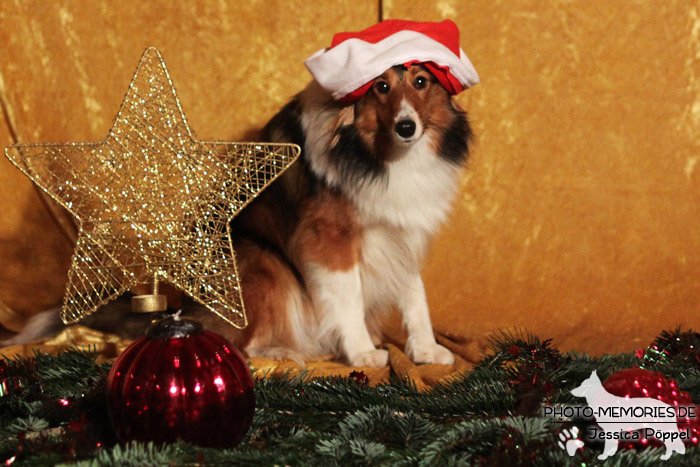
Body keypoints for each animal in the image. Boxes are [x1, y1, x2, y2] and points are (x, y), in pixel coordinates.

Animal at [219, 63, 470, 370]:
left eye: (421, 81)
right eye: (381, 86)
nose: (406, 127)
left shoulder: (401, 230)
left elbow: (415, 294)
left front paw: (425, 348)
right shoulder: (331, 236)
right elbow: (351, 296)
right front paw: (362, 353)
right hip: (265, 264)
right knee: (241, 343)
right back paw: (282, 352)